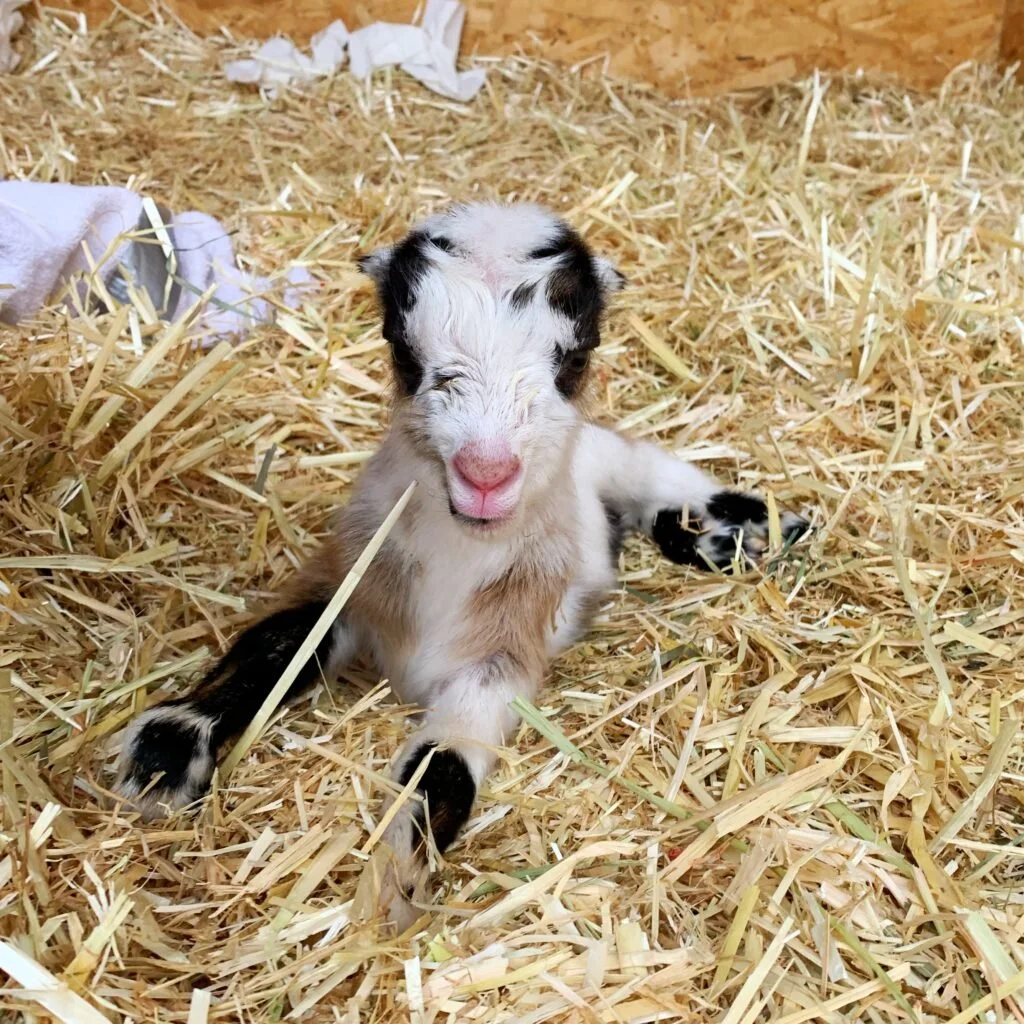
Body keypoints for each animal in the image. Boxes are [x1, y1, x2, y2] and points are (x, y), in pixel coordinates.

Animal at [115, 201, 809, 926]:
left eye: (577, 353)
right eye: (401, 345)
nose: (486, 473)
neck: (457, 558)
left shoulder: (499, 658)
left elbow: (442, 760)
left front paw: (395, 878)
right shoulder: (351, 587)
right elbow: (270, 646)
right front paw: (165, 753)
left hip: (622, 460)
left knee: (668, 480)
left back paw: (760, 528)